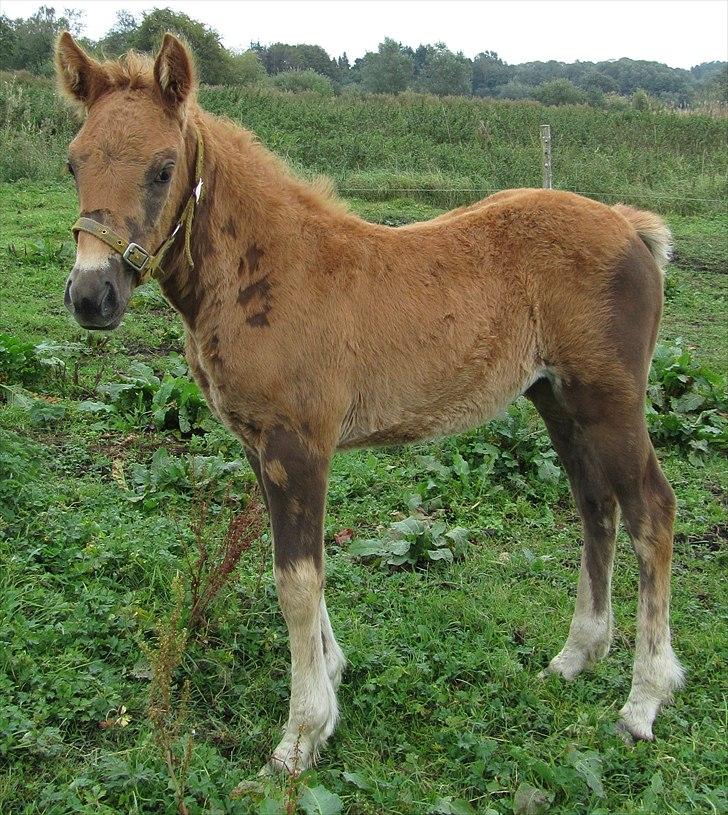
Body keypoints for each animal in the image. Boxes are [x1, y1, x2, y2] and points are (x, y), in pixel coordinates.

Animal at [55, 31, 684, 772]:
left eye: (161, 169)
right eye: (73, 162)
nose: (91, 295)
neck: (271, 270)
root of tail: (627, 226)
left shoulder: (298, 444)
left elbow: (295, 580)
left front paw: (300, 734)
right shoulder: (259, 446)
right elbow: (302, 566)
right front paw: (331, 678)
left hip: (610, 400)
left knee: (651, 509)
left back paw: (644, 700)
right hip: (557, 399)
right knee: (595, 505)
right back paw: (575, 656)